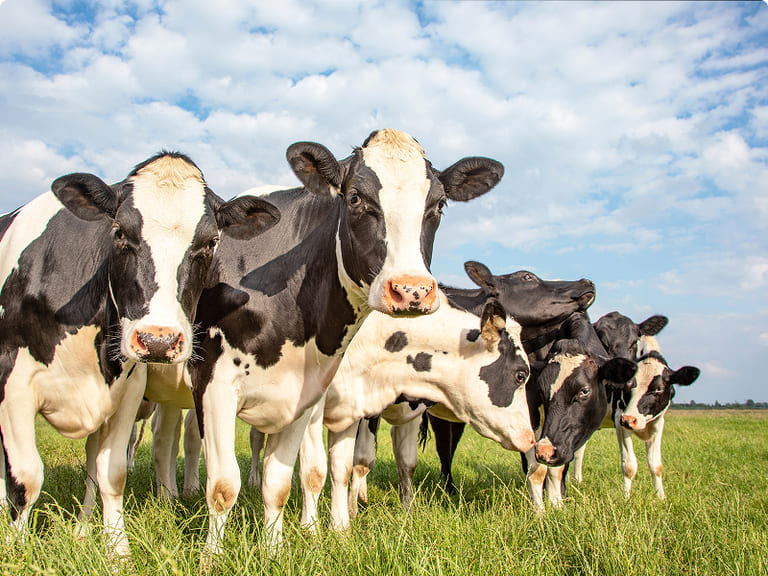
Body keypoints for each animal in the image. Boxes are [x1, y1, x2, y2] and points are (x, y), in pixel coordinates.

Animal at [0, 152, 280, 556]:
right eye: (119, 233)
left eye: (211, 242)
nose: (158, 341)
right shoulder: (13, 385)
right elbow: (25, 477)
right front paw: (15, 550)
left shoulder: (126, 389)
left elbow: (111, 472)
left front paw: (117, 550)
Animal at [185, 129, 504, 556]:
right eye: (355, 198)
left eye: (438, 204)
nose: (412, 291)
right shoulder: (214, 384)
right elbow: (224, 485)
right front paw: (213, 558)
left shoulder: (309, 394)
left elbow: (298, 476)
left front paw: (298, 543)